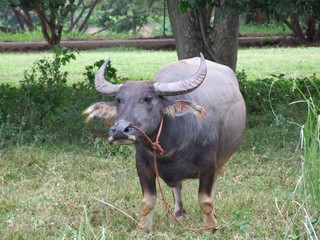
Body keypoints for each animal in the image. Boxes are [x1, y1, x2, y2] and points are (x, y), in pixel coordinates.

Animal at [84, 54, 246, 232]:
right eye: (119, 100)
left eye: (148, 98)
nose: (120, 130)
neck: (171, 147)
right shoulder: (142, 165)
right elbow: (148, 201)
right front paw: (143, 228)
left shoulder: (208, 164)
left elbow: (205, 199)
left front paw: (210, 227)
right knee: (177, 188)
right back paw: (178, 212)